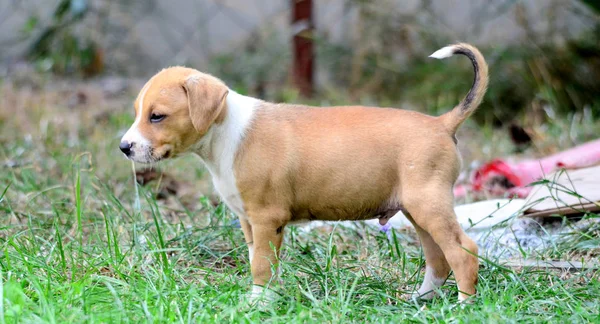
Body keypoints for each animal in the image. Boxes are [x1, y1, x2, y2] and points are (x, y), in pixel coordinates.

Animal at [120, 43, 488, 304]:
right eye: (137, 112)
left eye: (157, 116)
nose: (125, 147)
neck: (225, 131)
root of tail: (442, 122)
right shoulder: (249, 222)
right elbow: (260, 261)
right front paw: (264, 298)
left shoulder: (267, 218)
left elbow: (261, 264)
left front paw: (257, 305)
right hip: (418, 212)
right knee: (438, 259)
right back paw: (419, 301)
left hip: (430, 206)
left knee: (463, 252)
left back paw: (463, 307)